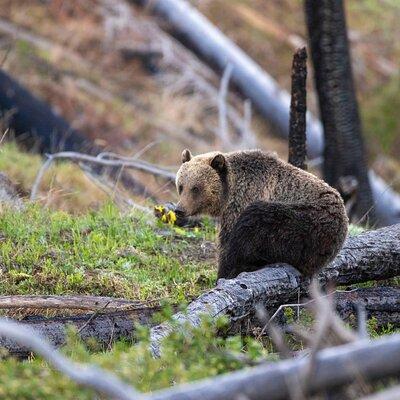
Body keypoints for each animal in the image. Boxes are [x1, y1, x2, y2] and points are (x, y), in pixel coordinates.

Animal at [177, 148, 348, 280]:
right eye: (181, 186)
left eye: (196, 188)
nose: (179, 209)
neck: (230, 192)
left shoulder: (243, 201)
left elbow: (228, 244)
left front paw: (224, 274)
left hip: (303, 224)